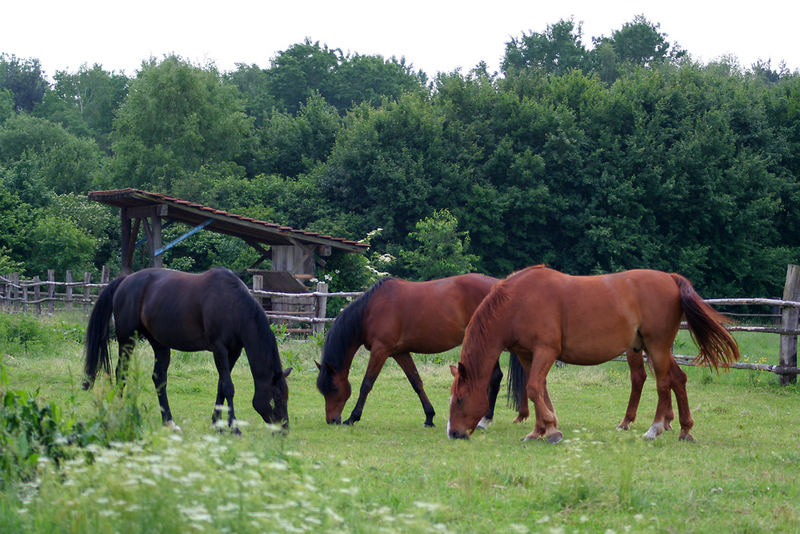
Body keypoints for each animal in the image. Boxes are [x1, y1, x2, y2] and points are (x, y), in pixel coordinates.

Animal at [85, 270, 290, 434]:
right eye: (277, 398)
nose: (284, 429)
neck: (233, 305)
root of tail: (125, 280)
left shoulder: (234, 352)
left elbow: (221, 386)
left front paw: (216, 424)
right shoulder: (219, 349)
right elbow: (228, 387)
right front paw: (234, 428)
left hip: (160, 344)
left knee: (159, 378)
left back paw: (168, 421)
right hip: (127, 340)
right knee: (122, 372)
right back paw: (119, 411)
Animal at [318, 274, 520, 430]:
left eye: (334, 388)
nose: (332, 420)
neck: (370, 310)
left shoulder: (380, 350)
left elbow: (366, 384)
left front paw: (352, 417)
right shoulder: (399, 352)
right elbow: (416, 382)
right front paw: (429, 417)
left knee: (495, 377)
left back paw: (484, 420)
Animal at [446, 266, 740, 446]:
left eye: (459, 399)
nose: (453, 433)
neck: (519, 301)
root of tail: (670, 278)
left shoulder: (546, 351)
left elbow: (533, 388)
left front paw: (550, 431)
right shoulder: (528, 355)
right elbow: (538, 389)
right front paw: (540, 429)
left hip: (656, 347)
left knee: (663, 383)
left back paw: (655, 428)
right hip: (657, 349)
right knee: (678, 379)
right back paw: (684, 429)